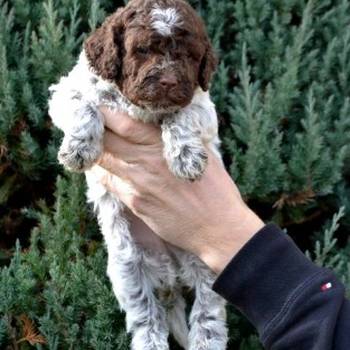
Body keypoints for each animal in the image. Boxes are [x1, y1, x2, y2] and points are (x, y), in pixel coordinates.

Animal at [49, 0, 228, 350]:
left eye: (190, 56)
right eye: (142, 49)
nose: (169, 81)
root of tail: (171, 275)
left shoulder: (201, 103)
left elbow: (184, 112)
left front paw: (186, 157)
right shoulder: (66, 90)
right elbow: (83, 104)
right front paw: (79, 148)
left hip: (209, 263)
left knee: (207, 313)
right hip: (127, 270)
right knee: (147, 320)